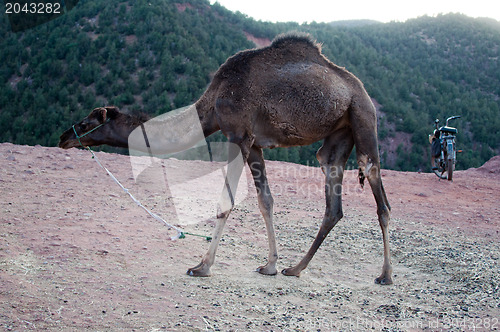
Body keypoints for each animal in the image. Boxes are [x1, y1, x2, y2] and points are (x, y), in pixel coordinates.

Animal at [59, 32, 394, 284]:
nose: (63, 137)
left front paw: (201, 267)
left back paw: (385, 275)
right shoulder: (255, 143)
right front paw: (270, 265)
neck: (211, 104)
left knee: (376, 185)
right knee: (332, 194)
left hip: (363, 117)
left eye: (86, 123)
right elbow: (265, 201)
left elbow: (225, 202)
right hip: (339, 134)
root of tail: (359, 89)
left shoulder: (238, 135)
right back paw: (295, 268)